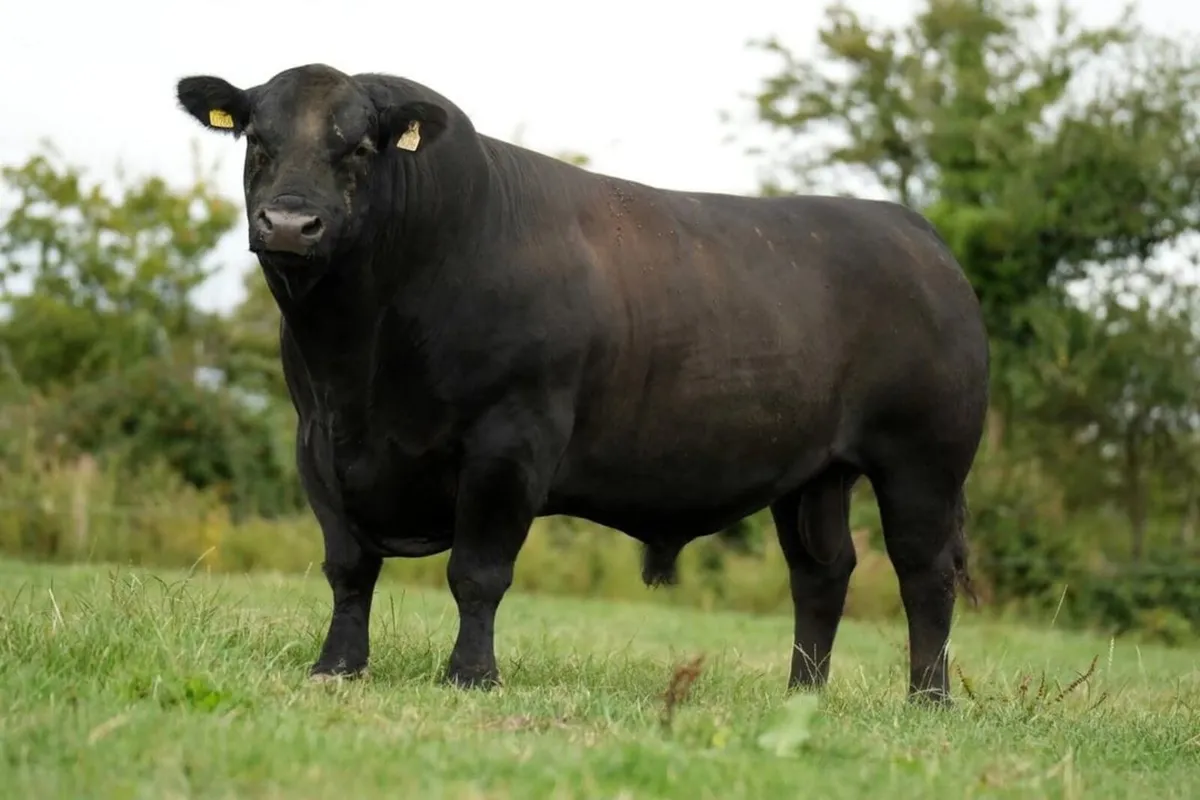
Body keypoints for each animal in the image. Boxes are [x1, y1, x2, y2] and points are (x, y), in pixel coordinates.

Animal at [174, 63, 990, 704]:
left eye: (361, 146)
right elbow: (348, 566)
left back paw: (927, 699)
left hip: (924, 460)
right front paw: (337, 667)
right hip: (814, 472)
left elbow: (478, 572)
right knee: (822, 572)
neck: (361, 360)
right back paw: (802, 694)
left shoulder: (511, 439)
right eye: (257, 140)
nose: (289, 223)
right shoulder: (317, 439)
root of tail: (914, 232)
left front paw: (471, 676)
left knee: (923, 571)